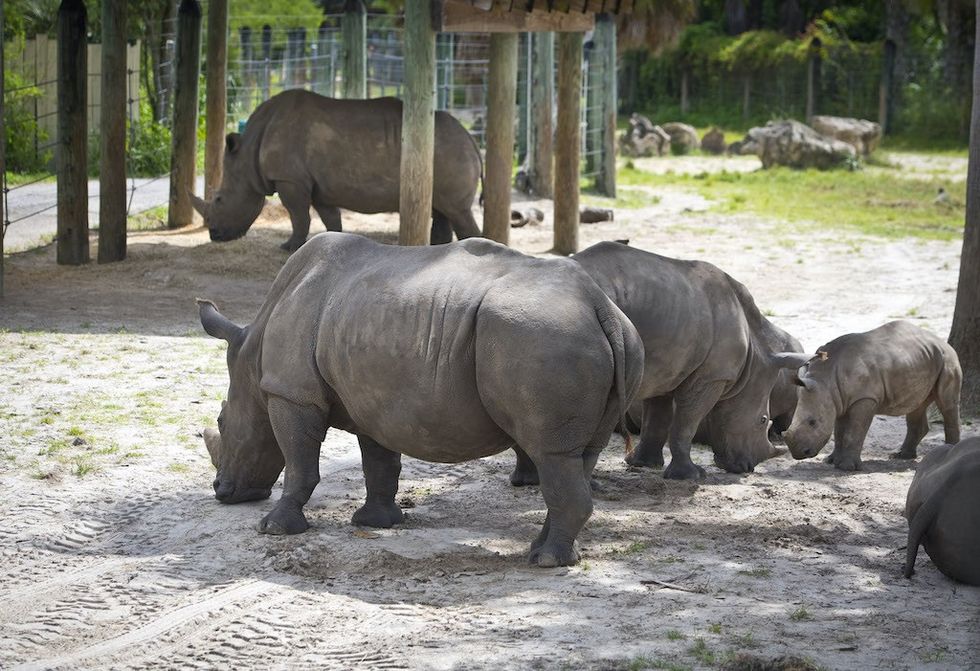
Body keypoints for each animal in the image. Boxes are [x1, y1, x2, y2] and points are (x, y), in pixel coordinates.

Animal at [190, 90, 483, 251]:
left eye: (219, 199)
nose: (214, 235)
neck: (249, 150)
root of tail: (472, 140)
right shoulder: (318, 186)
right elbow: (329, 218)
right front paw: (333, 244)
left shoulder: (290, 179)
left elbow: (298, 215)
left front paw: (288, 247)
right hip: (447, 151)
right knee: (442, 210)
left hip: (450, 151)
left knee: (457, 211)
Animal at [199, 232, 643, 568]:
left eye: (220, 422)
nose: (222, 491)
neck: (252, 358)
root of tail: (600, 306)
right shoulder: (371, 397)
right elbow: (379, 462)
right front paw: (375, 522)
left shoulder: (291, 393)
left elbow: (299, 463)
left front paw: (273, 528)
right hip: (604, 338)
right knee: (578, 456)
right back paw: (547, 552)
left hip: (545, 337)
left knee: (551, 453)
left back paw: (546, 562)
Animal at [511, 242, 809, 483]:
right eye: (762, 420)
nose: (746, 468)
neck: (754, 355)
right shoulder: (712, 376)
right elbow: (686, 423)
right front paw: (690, 476)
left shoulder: (666, 368)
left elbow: (658, 419)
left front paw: (643, 464)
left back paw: (530, 481)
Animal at [783, 321, 961, 471]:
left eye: (812, 422)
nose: (799, 454)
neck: (825, 380)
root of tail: (941, 341)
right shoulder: (839, 400)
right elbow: (839, 431)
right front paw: (831, 461)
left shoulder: (865, 398)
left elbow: (854, 431)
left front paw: (846, 468)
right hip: (924, 359)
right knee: (916, 404)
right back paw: (901, 456)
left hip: (948, 359)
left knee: (947, 404)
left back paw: (950, 454)